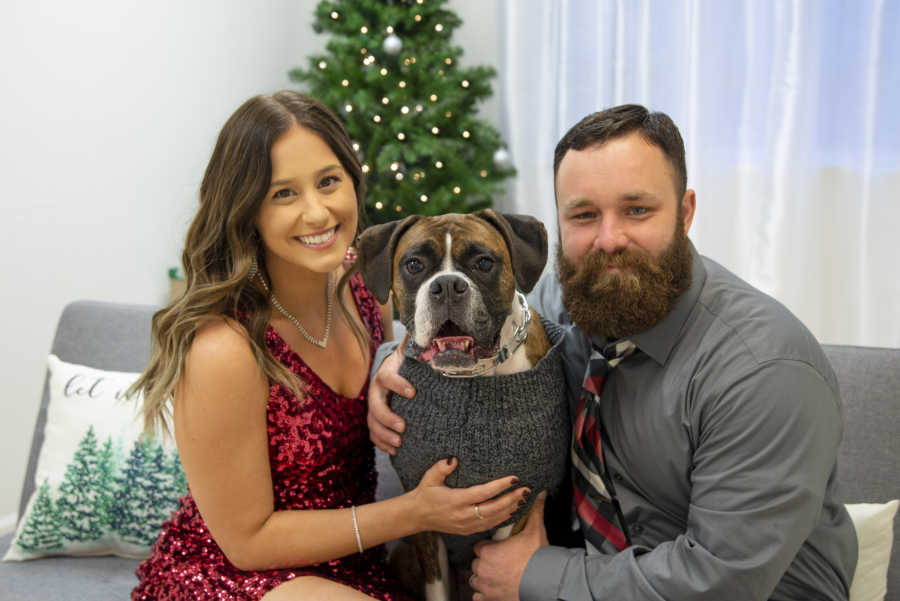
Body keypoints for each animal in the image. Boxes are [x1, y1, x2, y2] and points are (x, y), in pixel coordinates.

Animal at [356, 210, 568, 600]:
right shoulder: (422, 512)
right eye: (414, 264)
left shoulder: (518, 507)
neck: (473, 378)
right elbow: (437, 586)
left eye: (484, 262)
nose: (448, 285)